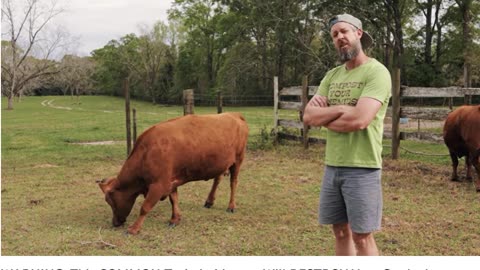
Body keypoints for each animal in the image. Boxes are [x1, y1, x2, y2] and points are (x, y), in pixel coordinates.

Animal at [96, 112, 249, 234]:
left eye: (110, 200)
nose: (115, 223)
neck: (146, 152)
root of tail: (234, 114)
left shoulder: (159, 184)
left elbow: (145, 207)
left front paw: (134, 229)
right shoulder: (170, 180)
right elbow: (173, 199)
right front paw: (175, 219)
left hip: (238, 159)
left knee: (233, 182)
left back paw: (231, 206)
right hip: (220, 163)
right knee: (217, 179)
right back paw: (209, 201)